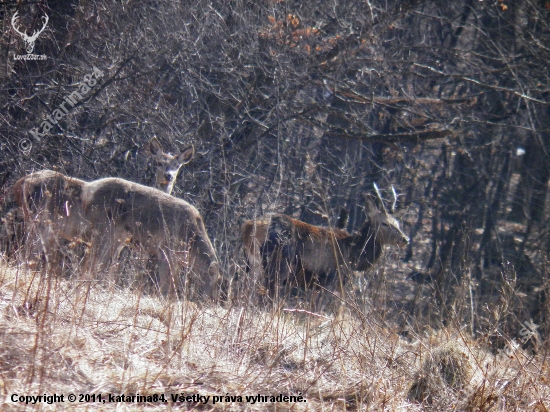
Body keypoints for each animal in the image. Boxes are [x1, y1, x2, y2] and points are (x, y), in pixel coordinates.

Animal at [82, 179, 220, 298]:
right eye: (208, 280)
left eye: (217, 282)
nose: (205, 299)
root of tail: (89, 189)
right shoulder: (166, 250)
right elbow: (165, 285)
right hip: (105, 229)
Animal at [242, 188, 410, 300]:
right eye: (384, 223)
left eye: (397, 223)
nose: (405, 239)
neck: (353, 255)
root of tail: (250, 227)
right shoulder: (331, 279)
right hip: (278, 263)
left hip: (252, 262)